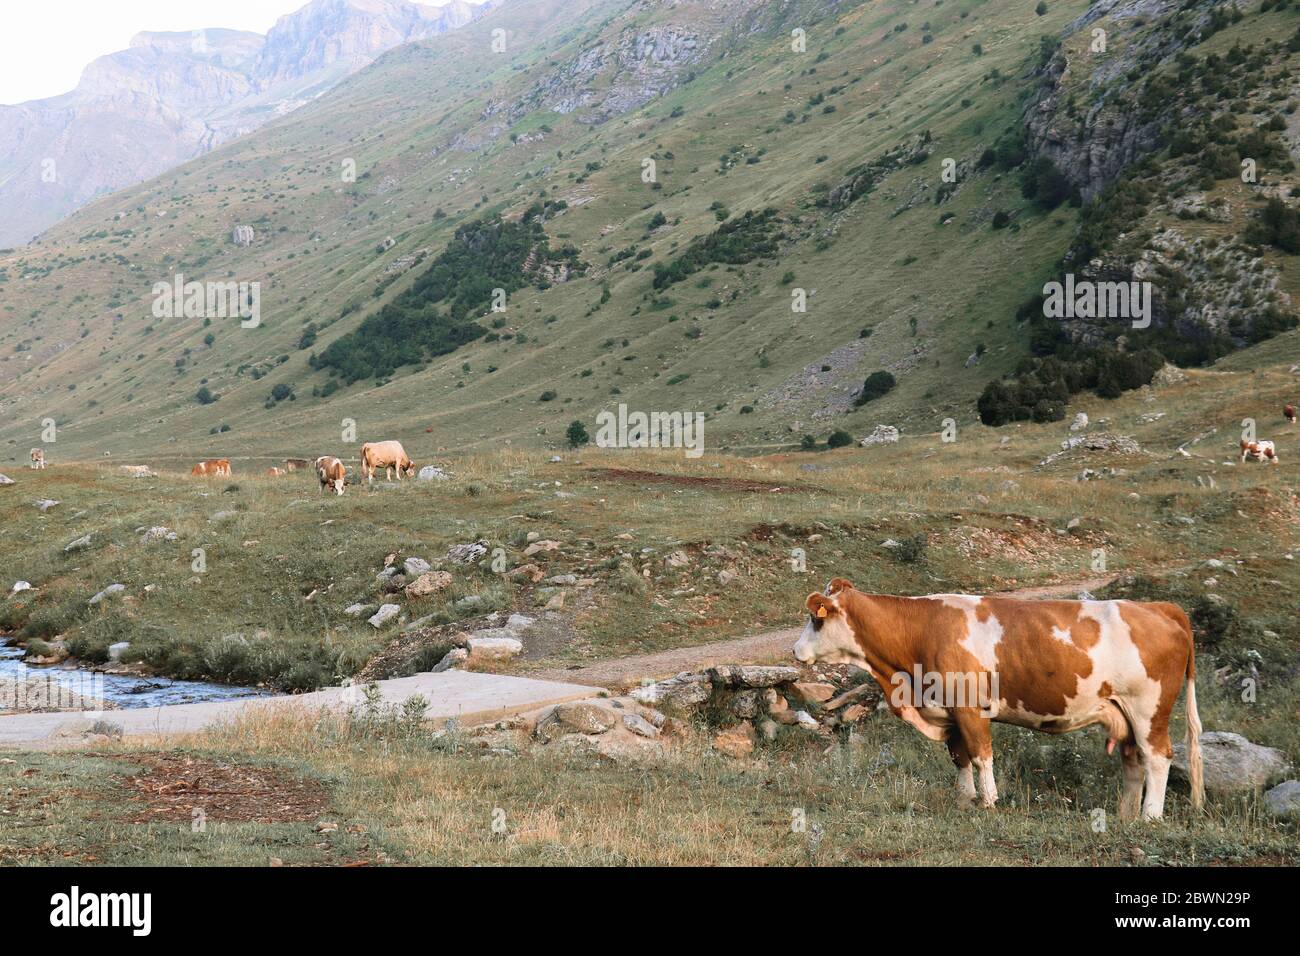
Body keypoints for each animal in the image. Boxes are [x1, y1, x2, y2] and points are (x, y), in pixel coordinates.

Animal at [793, 579, 1203, 821]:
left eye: (816, 620)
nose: (796, 650)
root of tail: (1158, 606)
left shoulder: (970, 708)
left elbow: (980, 754)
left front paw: (989, 800)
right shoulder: (949, 712)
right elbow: (959, 757)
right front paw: (964, 800)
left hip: (1149, 710)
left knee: (1157, 757)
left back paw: (1150, 816)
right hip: (1124, 714)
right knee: (1133, 761)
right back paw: (1126, 816)